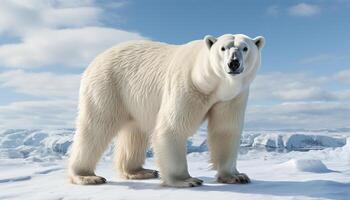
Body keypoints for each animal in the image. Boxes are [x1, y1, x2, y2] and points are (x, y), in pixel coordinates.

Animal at [69, 33, 266, 188]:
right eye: (223, 48)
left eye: (245, 48)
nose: (233, 63)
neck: (210, 84)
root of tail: (96, 59)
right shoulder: (187, 86)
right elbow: (173, 128)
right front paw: (186, 180)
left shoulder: (232, 98)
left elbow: (225, 130)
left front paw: (236, 176)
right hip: (108, 86)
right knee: (96, 127)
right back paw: (87, 176)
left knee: (135, 132)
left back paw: (140, 171)